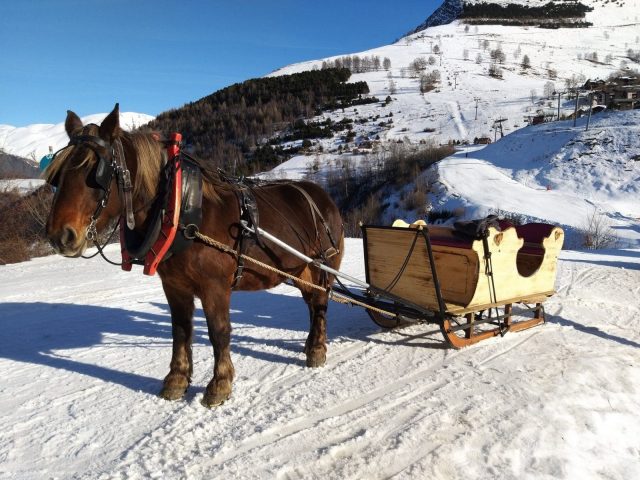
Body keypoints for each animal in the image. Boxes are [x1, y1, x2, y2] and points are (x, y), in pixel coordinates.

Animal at [45, 103, 344, 406]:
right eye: (57, 175)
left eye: (95, 173)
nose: (59, 236)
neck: (181, 211)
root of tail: (322, 195)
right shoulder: (175, 286)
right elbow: (180, 330)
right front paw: (176, 380)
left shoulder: (215, 287)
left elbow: (218, 331)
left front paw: (220, 384)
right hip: (301, 270)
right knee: (312, 303)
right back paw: (311, 344)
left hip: (322, 266)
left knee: (320, 303)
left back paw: (316, 350)